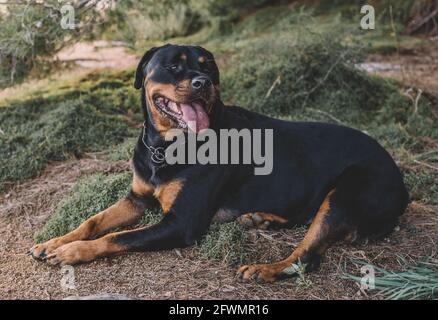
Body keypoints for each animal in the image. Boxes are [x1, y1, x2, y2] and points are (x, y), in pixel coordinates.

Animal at [29, 43, 408, 282]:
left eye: (208, 66)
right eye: (174, 65)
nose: (203, 82)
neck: (165, 146)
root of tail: (403, 186)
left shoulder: (181, 223)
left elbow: (117, 237)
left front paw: (73, 251)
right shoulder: (136, 198)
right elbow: (94, 221)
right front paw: (54, 242)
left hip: (345, 192)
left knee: (307, 255)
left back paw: (265, 268)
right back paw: (260, 219)